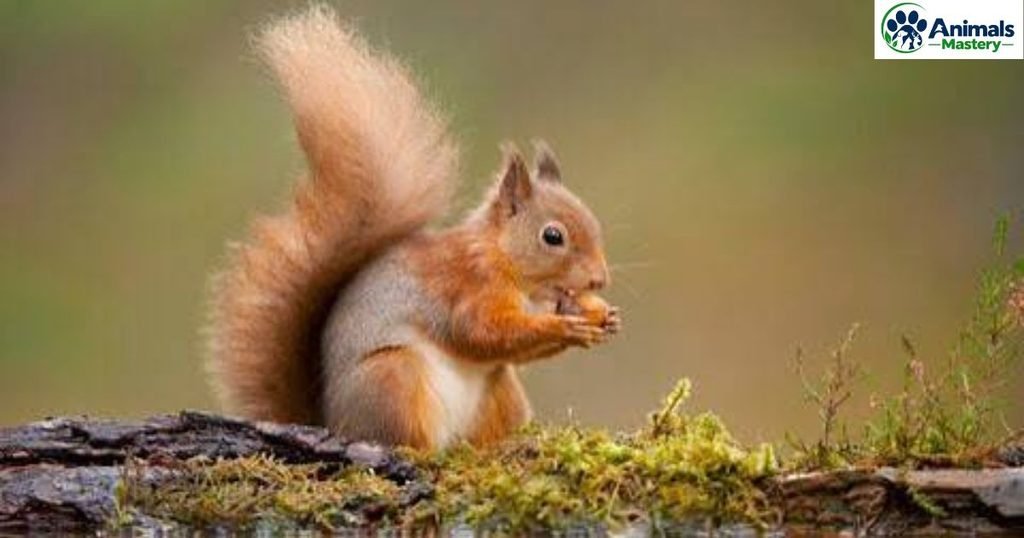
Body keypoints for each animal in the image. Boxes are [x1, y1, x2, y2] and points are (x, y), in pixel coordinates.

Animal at [207, 5, 619, 450]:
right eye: (552, 236)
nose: (599, 280)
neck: (506, 261)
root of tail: (335, 422)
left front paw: (604, 316)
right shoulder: (468, 287)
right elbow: (481, 332)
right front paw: (563, 326)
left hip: (500, 390)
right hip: (393, 377)